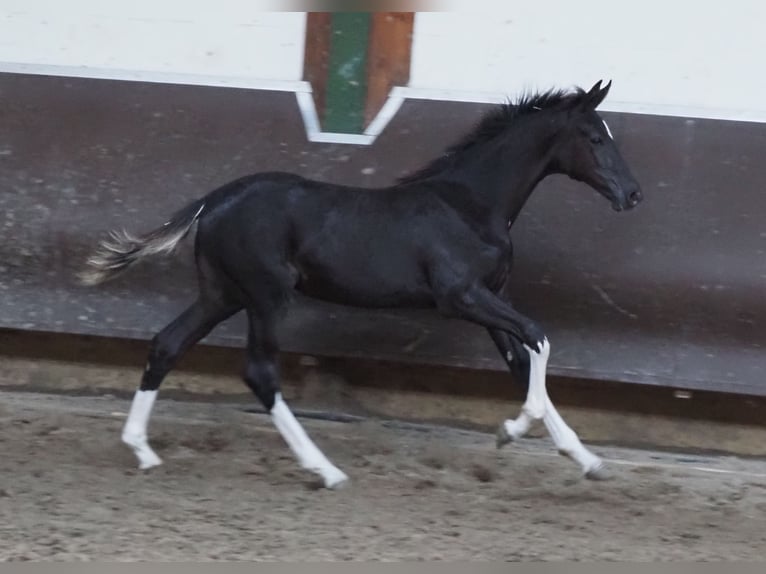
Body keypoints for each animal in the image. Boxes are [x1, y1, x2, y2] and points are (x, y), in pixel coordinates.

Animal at [82, 81, 640, 490]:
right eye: (594, 137)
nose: (633, 193)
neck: (471, 205)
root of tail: (214, 200)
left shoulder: (492, 297)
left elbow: (523, 362)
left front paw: (585, 459)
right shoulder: (460, 297)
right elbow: (538, 339)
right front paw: (511, 431)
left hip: (222, 294)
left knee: (166, 344)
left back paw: (143, 450)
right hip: (265, 297)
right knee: (259, 371)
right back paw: (325, 470)